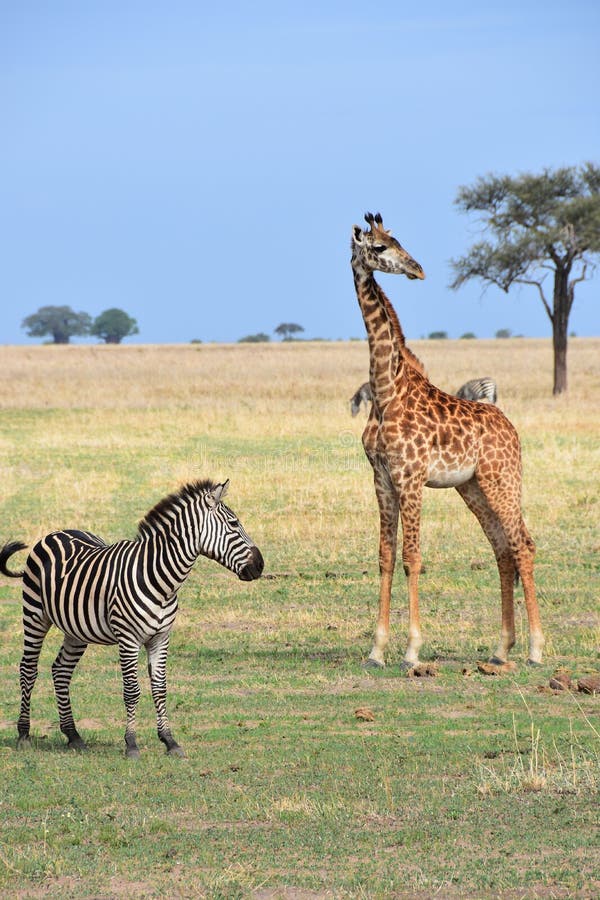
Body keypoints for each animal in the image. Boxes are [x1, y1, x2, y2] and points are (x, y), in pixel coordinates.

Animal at [0, 479, 263, 759]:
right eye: (234, 524)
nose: (260, 565)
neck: (161, 579)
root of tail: (55, 533)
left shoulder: (161, 638)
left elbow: (160, 688)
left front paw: (170, 741)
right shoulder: (129, 639)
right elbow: (132, 691)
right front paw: (132, 744)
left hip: (76, 629)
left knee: (61, 670)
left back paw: (73, 735)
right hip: (35, 615)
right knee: (28, 669)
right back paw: (24, 734)